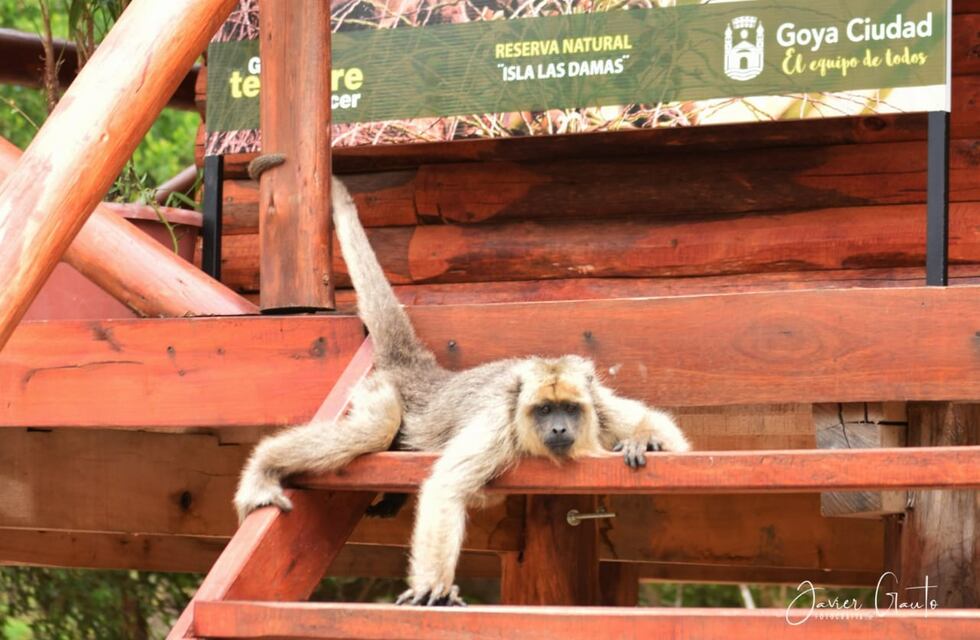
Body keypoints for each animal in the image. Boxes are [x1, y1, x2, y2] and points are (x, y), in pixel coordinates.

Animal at [233, 176, 691, 606]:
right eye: (544, 411)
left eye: (568, 409)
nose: (560, 428)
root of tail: (423, 372)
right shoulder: (498, 425)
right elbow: (446, 486)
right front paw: (432, 587)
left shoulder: (597, 403)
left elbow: (669, 434)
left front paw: (646, 441)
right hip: (379, 389)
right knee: (375, 429)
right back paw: (265, 465)